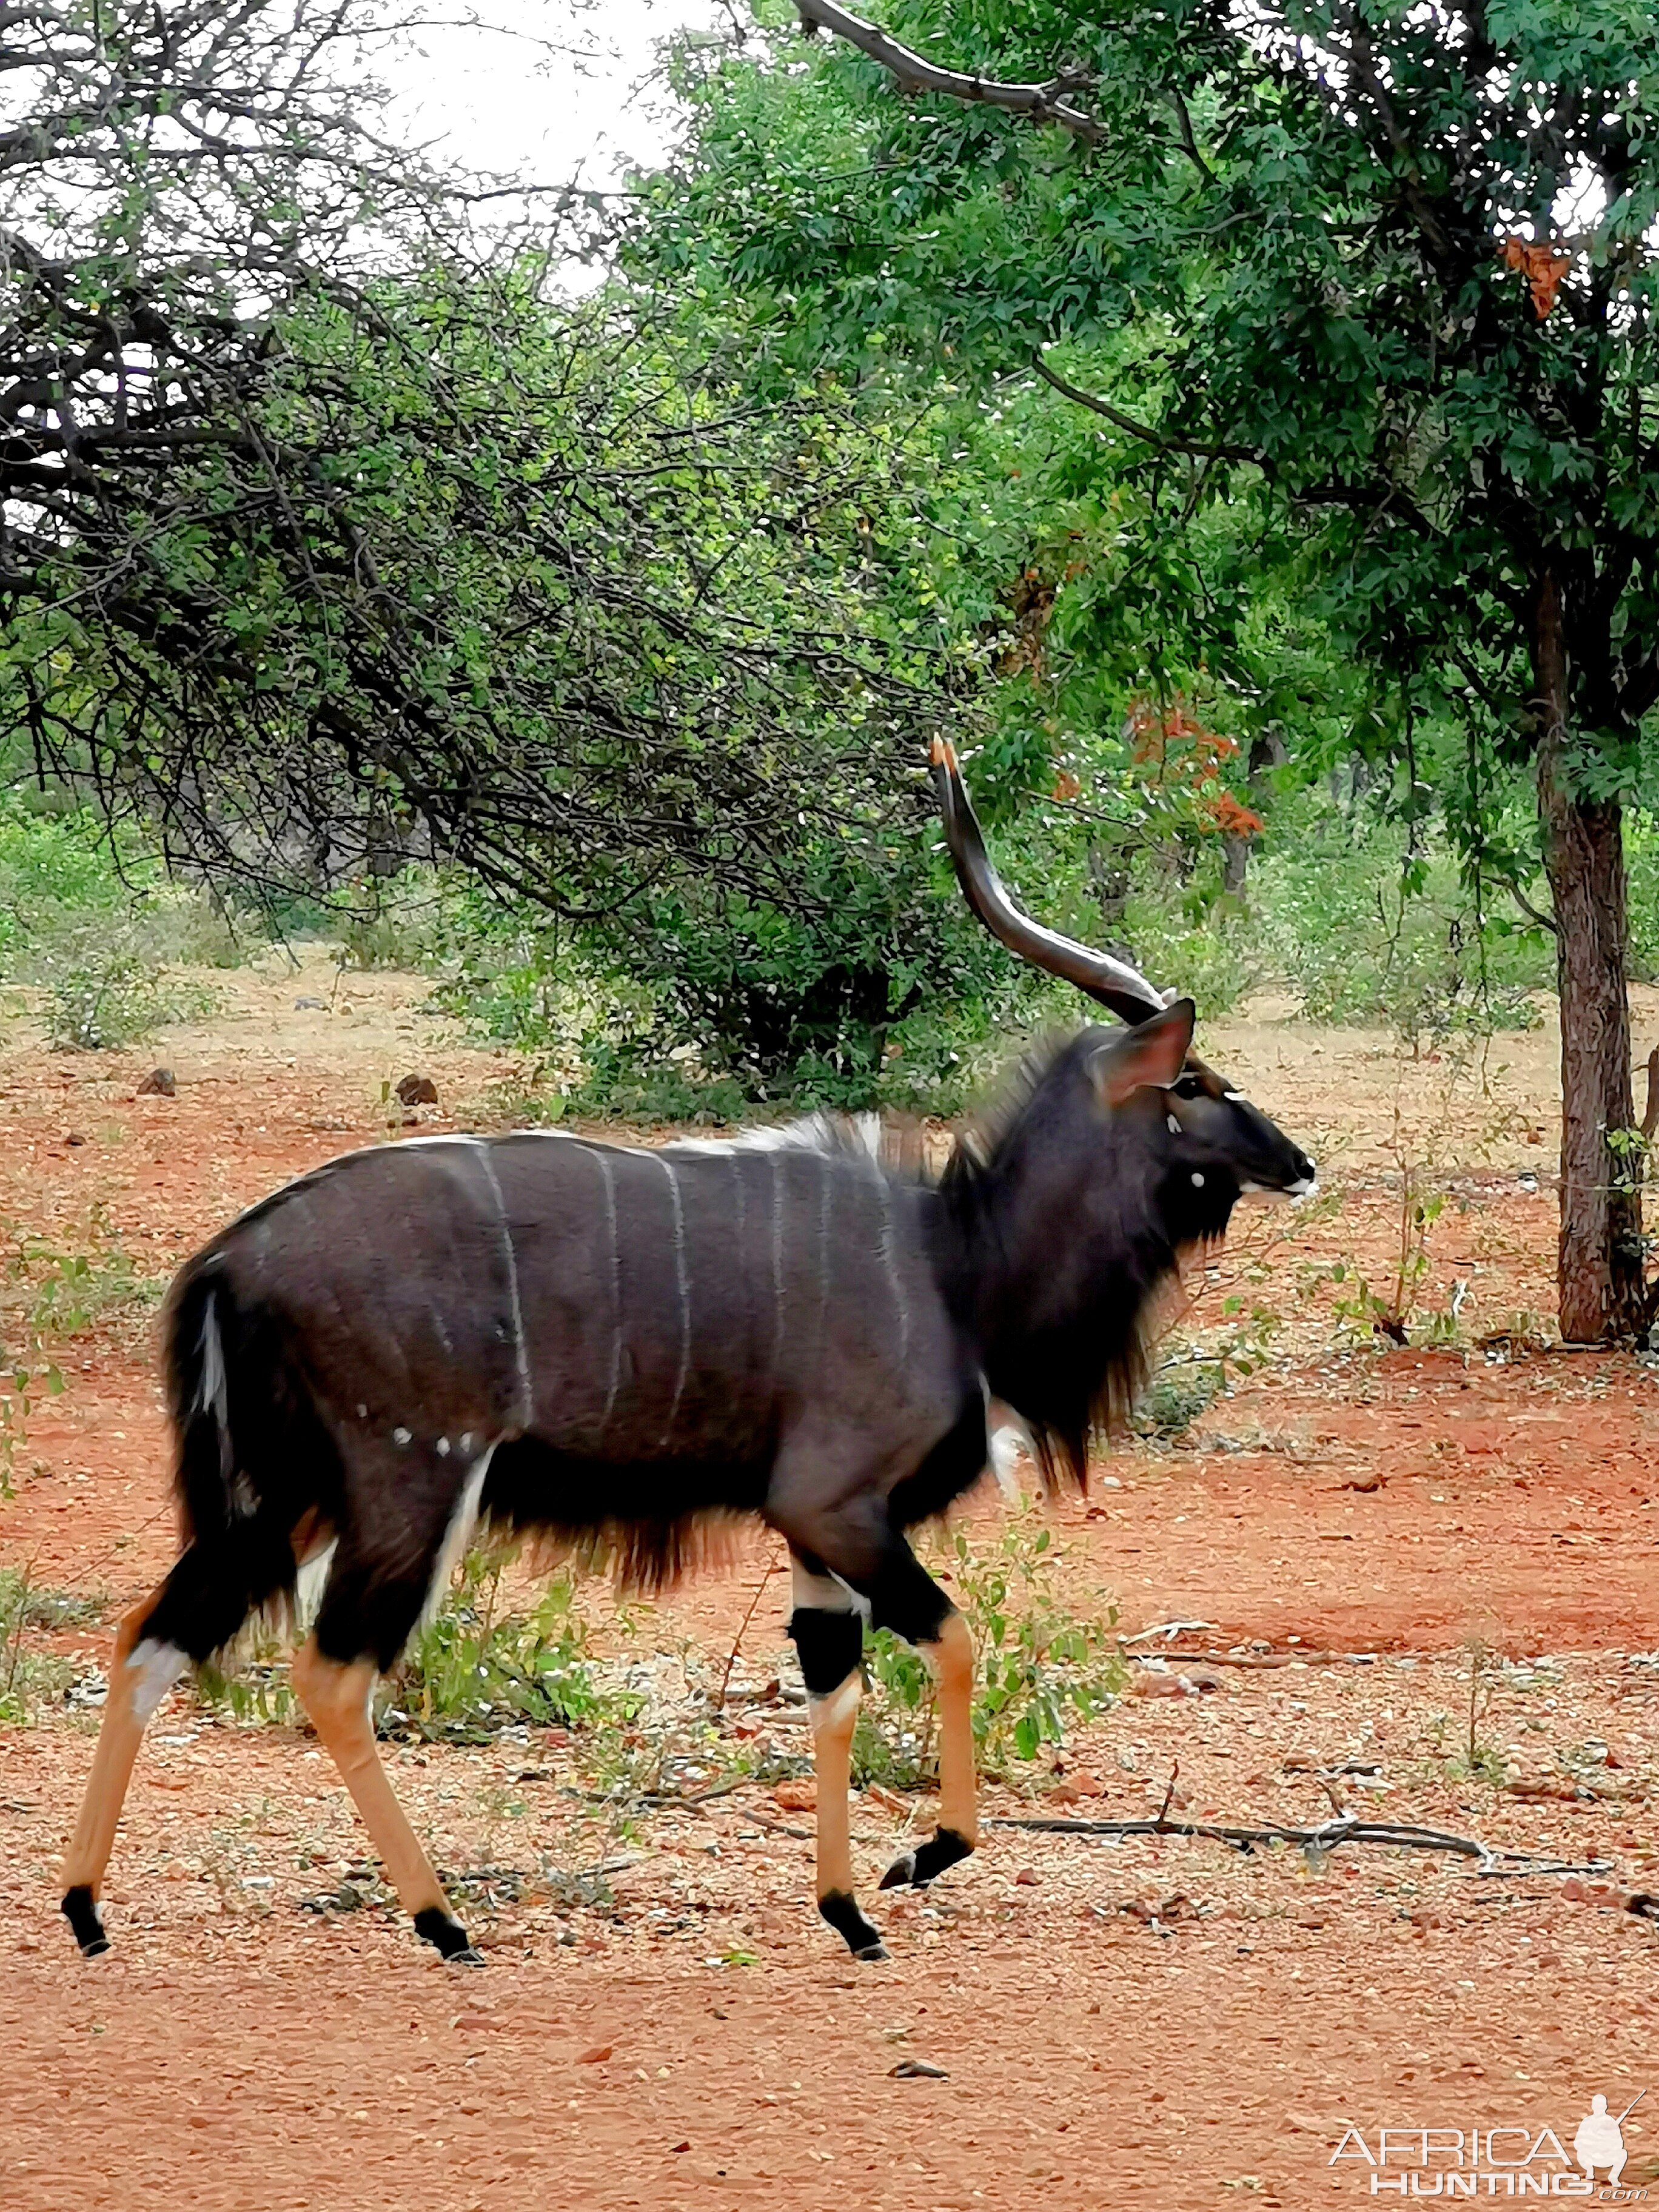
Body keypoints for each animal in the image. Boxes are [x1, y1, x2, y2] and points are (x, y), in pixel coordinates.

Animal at [58, 748, 1318, 1973]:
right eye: (1195, 1083)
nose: (1298, 1161)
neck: (956, 1262)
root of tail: (228, 1256)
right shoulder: (834, 1504)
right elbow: (954, 1640)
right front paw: (920, 1858)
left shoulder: (817, 1534)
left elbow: (833, 1692)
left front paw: (847, 1913)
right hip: (406, 1480)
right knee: (329, 1673)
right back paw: (443, 1923)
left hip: (287, 1494)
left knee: (150, 1636)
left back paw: (86, 1908)